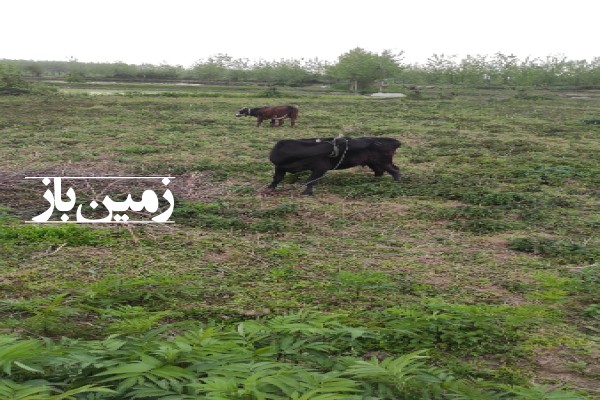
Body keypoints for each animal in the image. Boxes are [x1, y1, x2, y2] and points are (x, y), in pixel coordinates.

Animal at [266, 136, 398, 195]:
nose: (373, 142)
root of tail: (394, 141)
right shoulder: (279, 167)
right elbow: (277, 178)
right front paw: (269, 188)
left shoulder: (320, 168)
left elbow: (310, 181)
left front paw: (306, 192)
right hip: (374, 163)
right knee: (379, 172)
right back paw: (373, 182)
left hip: (384, 162)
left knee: (395, 170)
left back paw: (397, 182)